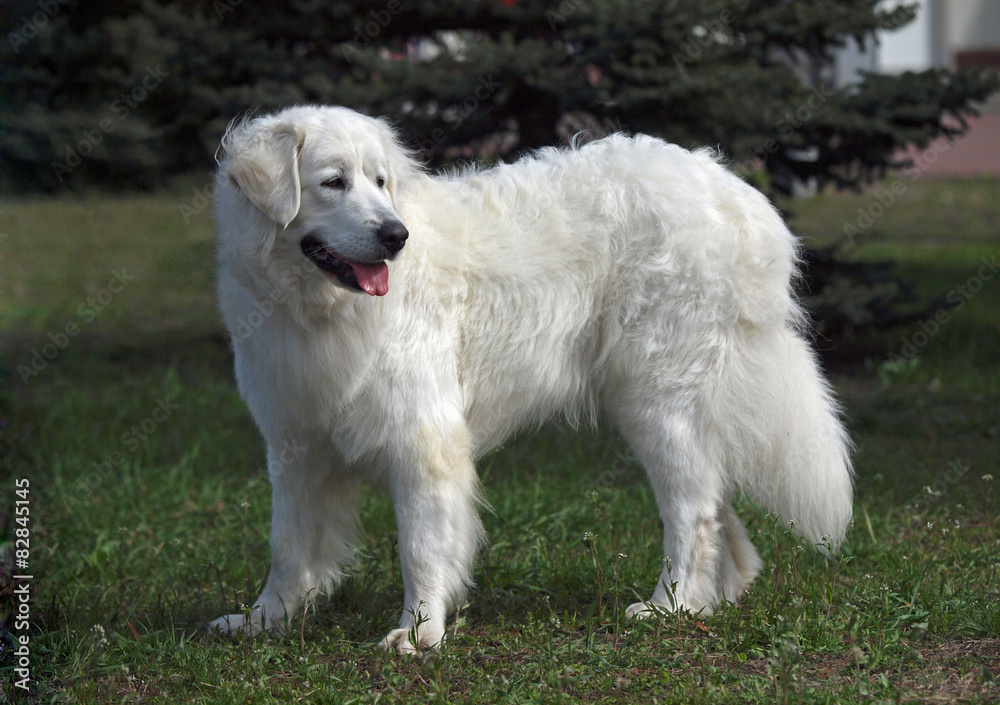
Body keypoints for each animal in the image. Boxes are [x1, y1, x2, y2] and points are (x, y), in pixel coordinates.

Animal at [211, 106, 852, 656]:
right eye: (334, 182)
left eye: (380, 181)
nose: (396, 236)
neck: (317, 310)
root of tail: (735, 192)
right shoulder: (296, 443)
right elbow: (288, 545)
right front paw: (264, 619)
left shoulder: (423, 439)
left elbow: (421, 545)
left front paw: (419, 631)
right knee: (716, 505)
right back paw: (714, 600)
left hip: (657, 401)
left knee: (692, 512)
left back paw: (671, 607)